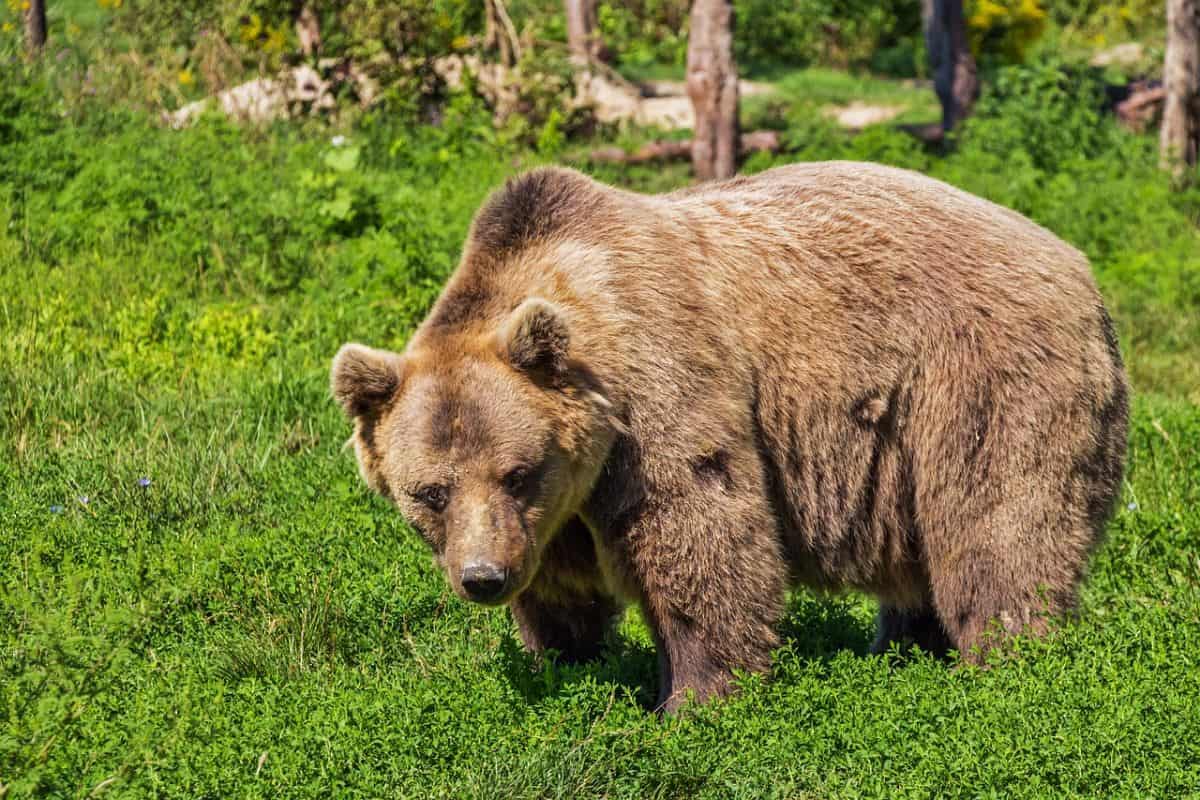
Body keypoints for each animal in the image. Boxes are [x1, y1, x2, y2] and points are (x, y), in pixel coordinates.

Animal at [328, 163, 1123, 714]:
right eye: (429, 492)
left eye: (517, 472)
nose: (483, 577)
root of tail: (1080, 266)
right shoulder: (556, 511)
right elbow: (561, 587)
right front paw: (567, 662)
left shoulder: (658, 393)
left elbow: (700, 533)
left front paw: (693, 698)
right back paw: (902, 648)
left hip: (979, 377)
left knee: (998, 524)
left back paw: (1007, 661)